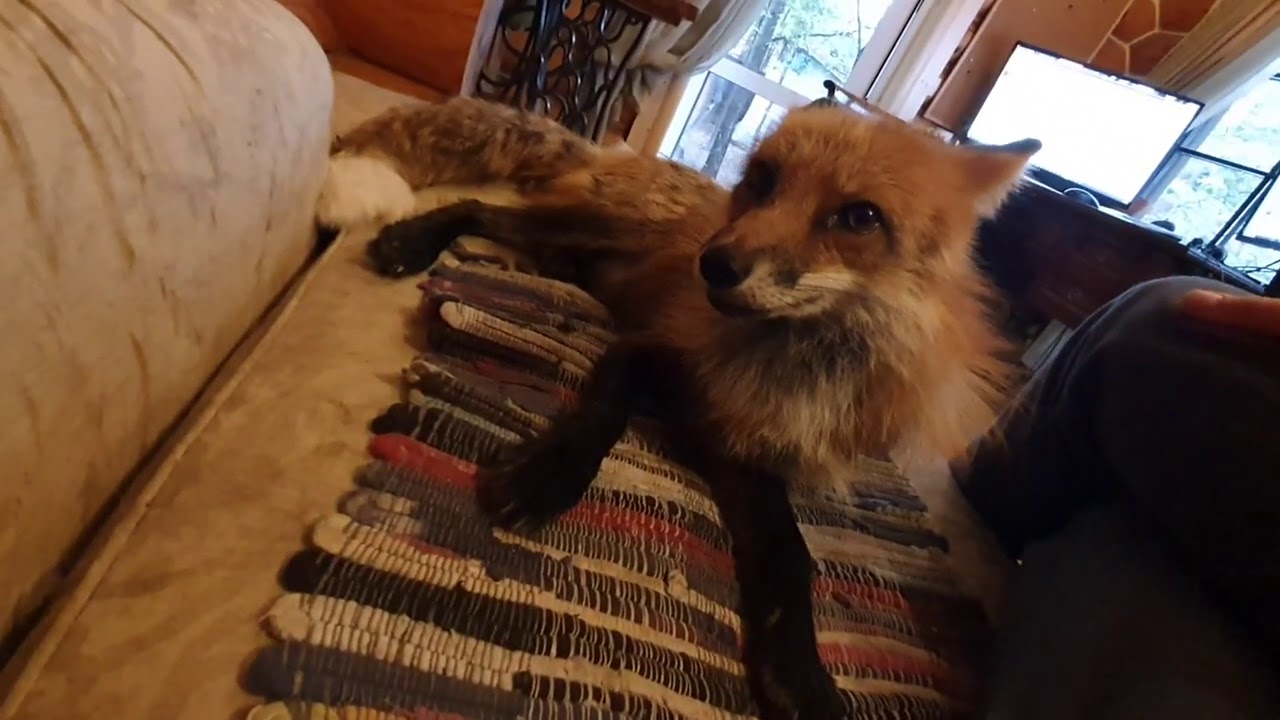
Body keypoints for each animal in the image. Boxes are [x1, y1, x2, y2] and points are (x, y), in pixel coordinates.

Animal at [318, 95, 1040, 719]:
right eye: (763, 181)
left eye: (860, 217)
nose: (714, 264)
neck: (786, 362)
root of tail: (614, 150)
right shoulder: (651, 353)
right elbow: (598, 418)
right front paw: (545, 478)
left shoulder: (746, 443)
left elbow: (792, 555)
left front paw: (796, 671)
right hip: (594, 226)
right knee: (480, 208)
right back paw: (414, 241)